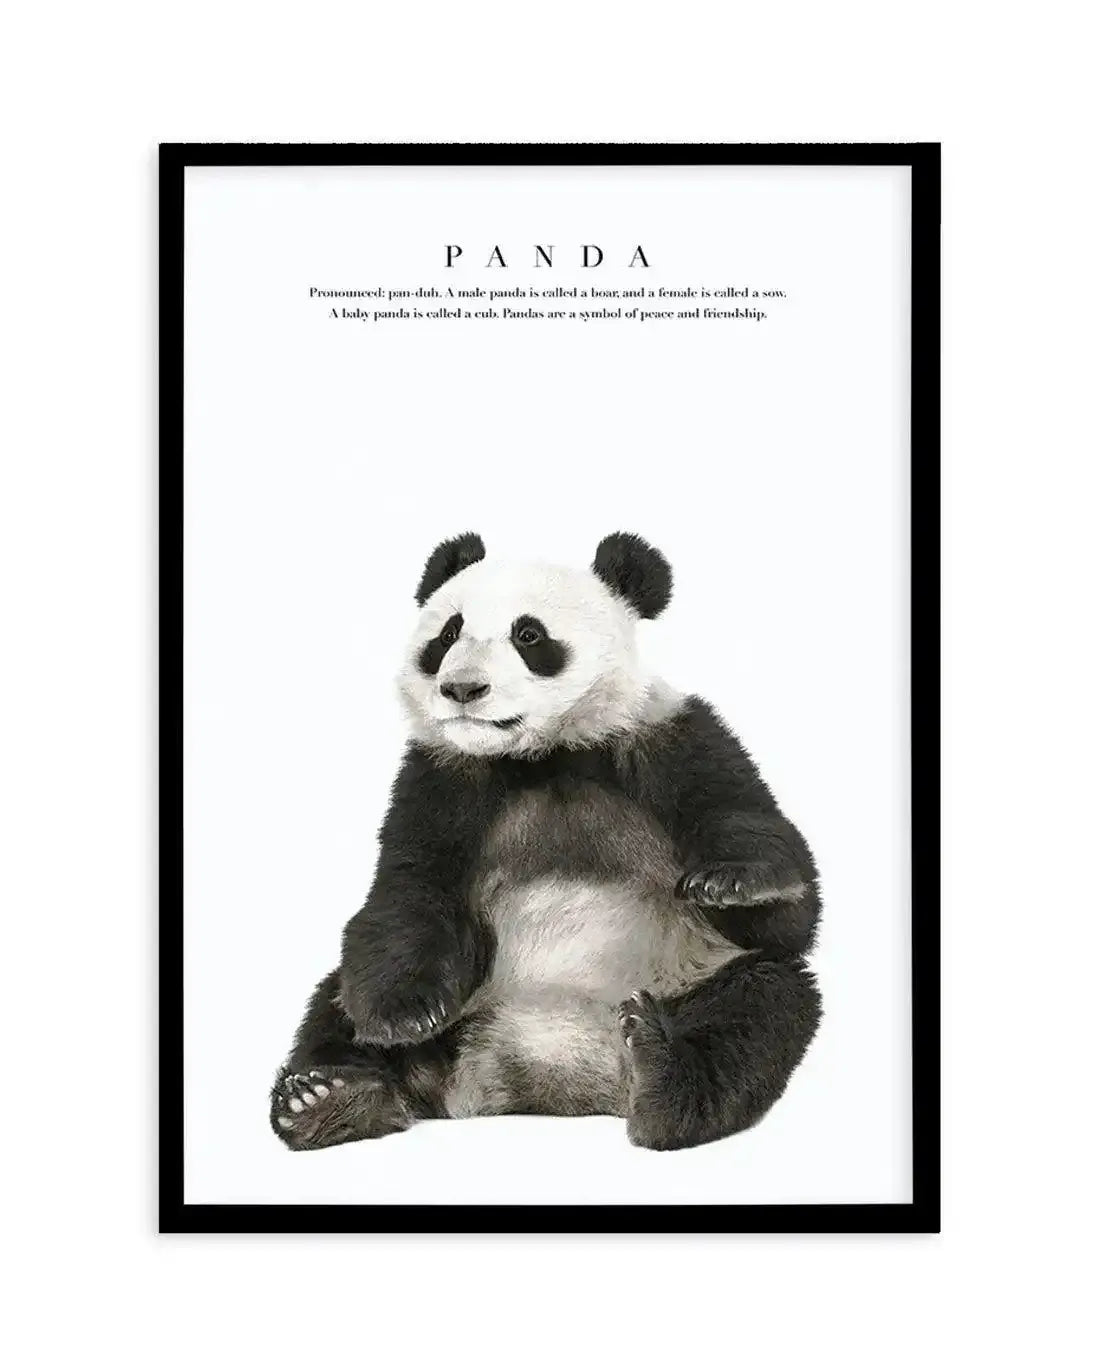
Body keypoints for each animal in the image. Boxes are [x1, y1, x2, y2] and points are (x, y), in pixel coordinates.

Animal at [270, 532, 822, 1151]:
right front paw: (401, 1017)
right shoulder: (441, 778)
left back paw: (661, 1077)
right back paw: (329, 1100)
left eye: (528, 635)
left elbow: (784, 912)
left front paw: (732, 882)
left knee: (761, 1008)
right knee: (334, 1004)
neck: (545, 754)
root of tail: (544, 1076)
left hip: (692, 977)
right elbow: (409, 889)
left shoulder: (671, 736)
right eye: (448, 634)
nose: (462, 688)